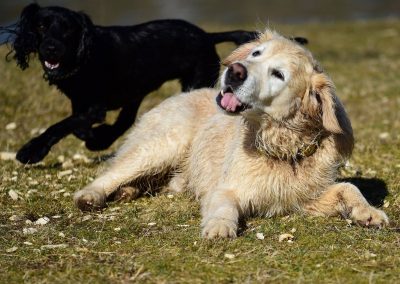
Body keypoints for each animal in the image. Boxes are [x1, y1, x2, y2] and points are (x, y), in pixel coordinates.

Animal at [1, 3, 306, 164]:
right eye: (41, 26)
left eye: (67, 29)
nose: (50, 49)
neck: (84, 57)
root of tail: (206, 35)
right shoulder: (85, 105)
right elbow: (77, 126)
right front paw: (97, 139)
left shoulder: (93, 108)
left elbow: (61, 126)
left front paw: (31, 150)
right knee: (125, 118)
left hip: (191, 81)